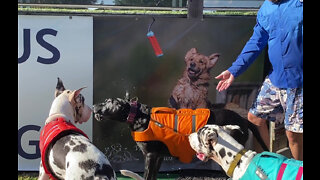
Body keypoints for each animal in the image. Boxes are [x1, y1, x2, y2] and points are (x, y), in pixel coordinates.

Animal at [93, 94, 270, 180]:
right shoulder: (158, 156)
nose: (94, 105)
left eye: (107, 101)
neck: (138, 115)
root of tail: (243, 120)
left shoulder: (150, 155)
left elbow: (147, 176)